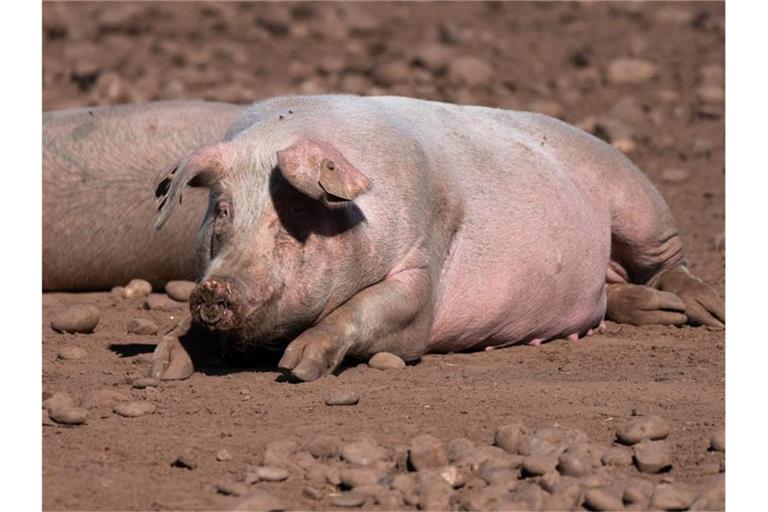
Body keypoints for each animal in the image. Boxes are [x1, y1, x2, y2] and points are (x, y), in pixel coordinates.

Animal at [42, 96, 728, 382]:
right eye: (222, 213)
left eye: (293, 215)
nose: (218, 291)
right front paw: (161, 368)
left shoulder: (422, 271)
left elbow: (371, 309)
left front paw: (296, 367)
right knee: (616, 292)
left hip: (636, 199)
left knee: (668, 261)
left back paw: (703, 311)